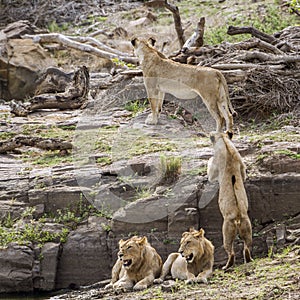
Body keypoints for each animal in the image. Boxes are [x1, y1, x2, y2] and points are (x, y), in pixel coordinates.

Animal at [207, 132, 252, 270]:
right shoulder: (242, 166)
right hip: (247, 228)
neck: (225, 142)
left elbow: (210, 173)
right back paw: (249, 259)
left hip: (226, 231)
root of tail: (237, 217)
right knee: (247, 246)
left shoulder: (215, 168)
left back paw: (226, 267)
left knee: (230, 251)